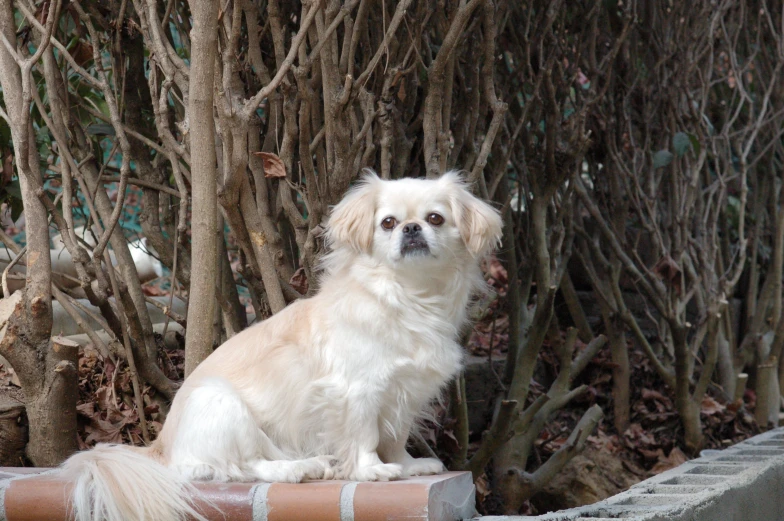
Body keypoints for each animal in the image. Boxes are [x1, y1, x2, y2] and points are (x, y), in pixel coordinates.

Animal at [61, 172, 502, 520]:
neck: (407, 298)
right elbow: (364, 436)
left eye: (435, 219)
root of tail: (160, 446)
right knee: (233, 468)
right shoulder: (357, 391)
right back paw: (294, 471)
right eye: (389, 223)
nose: (411, 228)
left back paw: (314, 463)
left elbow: (394, 438)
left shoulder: (403, 394)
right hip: (223, 404)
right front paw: (371, 471)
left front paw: (407, 467)